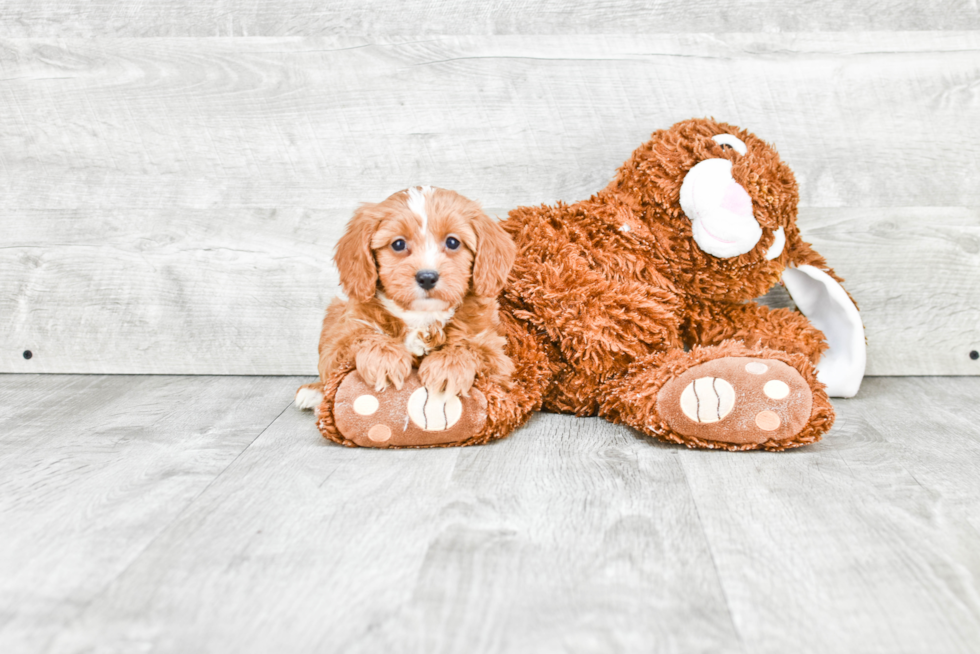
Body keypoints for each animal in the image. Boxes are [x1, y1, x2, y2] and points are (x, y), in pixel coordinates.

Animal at [294, 184, 516, 412]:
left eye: (453, 242)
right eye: (398, 244)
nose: (427, 277)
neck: (421, 316)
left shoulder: (496, 354)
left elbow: (471, 347)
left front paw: (447, 366)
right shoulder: (339, 341)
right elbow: (359, 337)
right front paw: (383, 356)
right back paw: (313, 392)